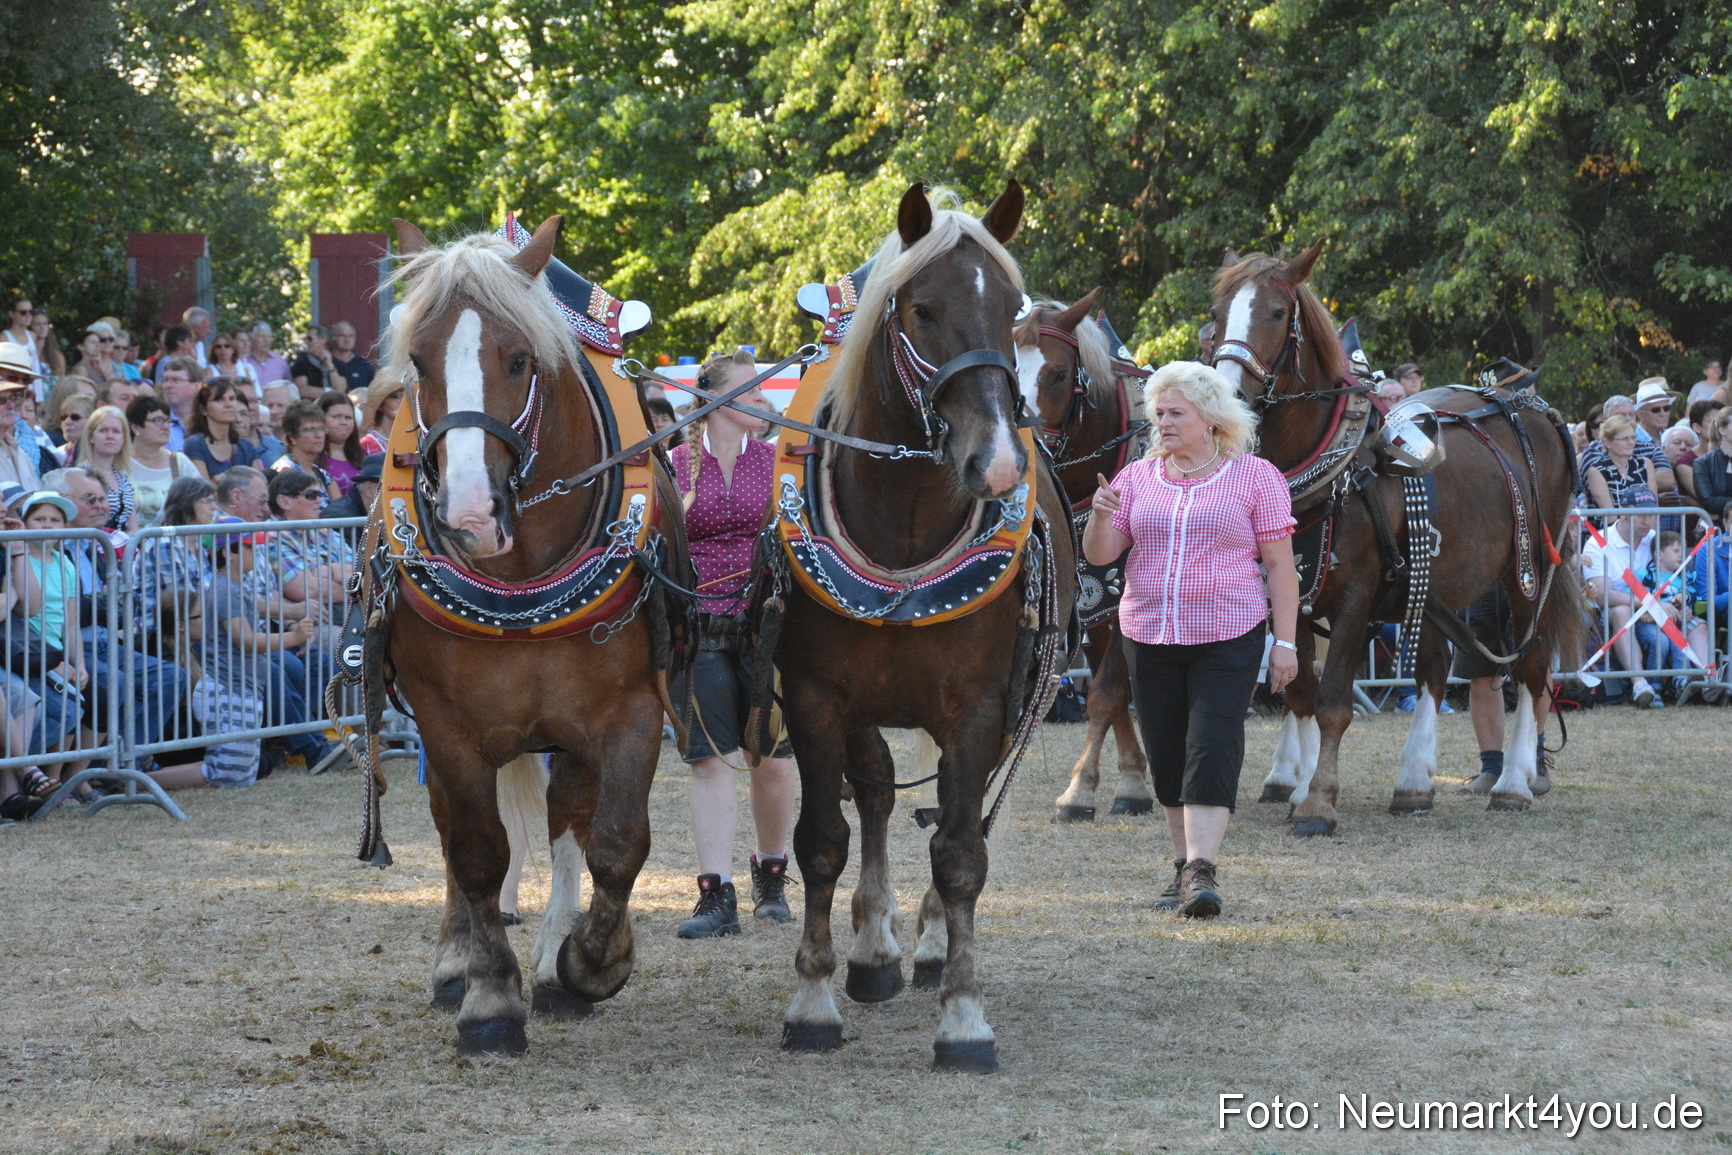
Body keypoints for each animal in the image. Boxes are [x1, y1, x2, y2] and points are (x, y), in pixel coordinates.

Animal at [373, 216, 680, 1053]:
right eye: (418, 361)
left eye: (518, 359)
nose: (470, 516)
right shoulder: (445, 720)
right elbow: (477, 851)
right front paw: (487, 996)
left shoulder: (632, 710)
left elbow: (617, 842)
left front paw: (589, 962)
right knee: (454, 830)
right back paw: (459, 963)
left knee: (570, 820)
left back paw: (551, 959)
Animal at [769, 182, 1076, 1072]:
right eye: (925, 310)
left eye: (1011, 309)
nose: (997, 462)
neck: (902, 534)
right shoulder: (815, 697)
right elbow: (824, 839)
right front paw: (813, 999)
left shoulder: (978, 707)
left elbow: (962, 852)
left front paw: (964, 1015)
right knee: (874, 791)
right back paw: (873, 948)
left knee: (947, 812)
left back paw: (932, 943)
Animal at [1012, 293, 1155, 821]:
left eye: (1057, 374)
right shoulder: (1092, 604)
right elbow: (1110, 693)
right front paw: (1129, 780)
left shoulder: (1127, 593)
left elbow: (1109, 691)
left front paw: (1080, 791)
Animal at [1208, 244, 1583, 834]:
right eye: (1216, 314)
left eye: (1276, 312)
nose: (1227, 394)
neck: (1327, 471)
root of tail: (1523, 400)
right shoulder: (1288, 592)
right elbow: (1300, 691)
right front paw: (1302, 786)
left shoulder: (1356, 597)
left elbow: (1333, 701)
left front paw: (1317, 802)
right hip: (1432, 582)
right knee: (1434, 669)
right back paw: (1413, 784)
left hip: (1528, 575)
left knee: (1530, 667)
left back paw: (1514, 783)